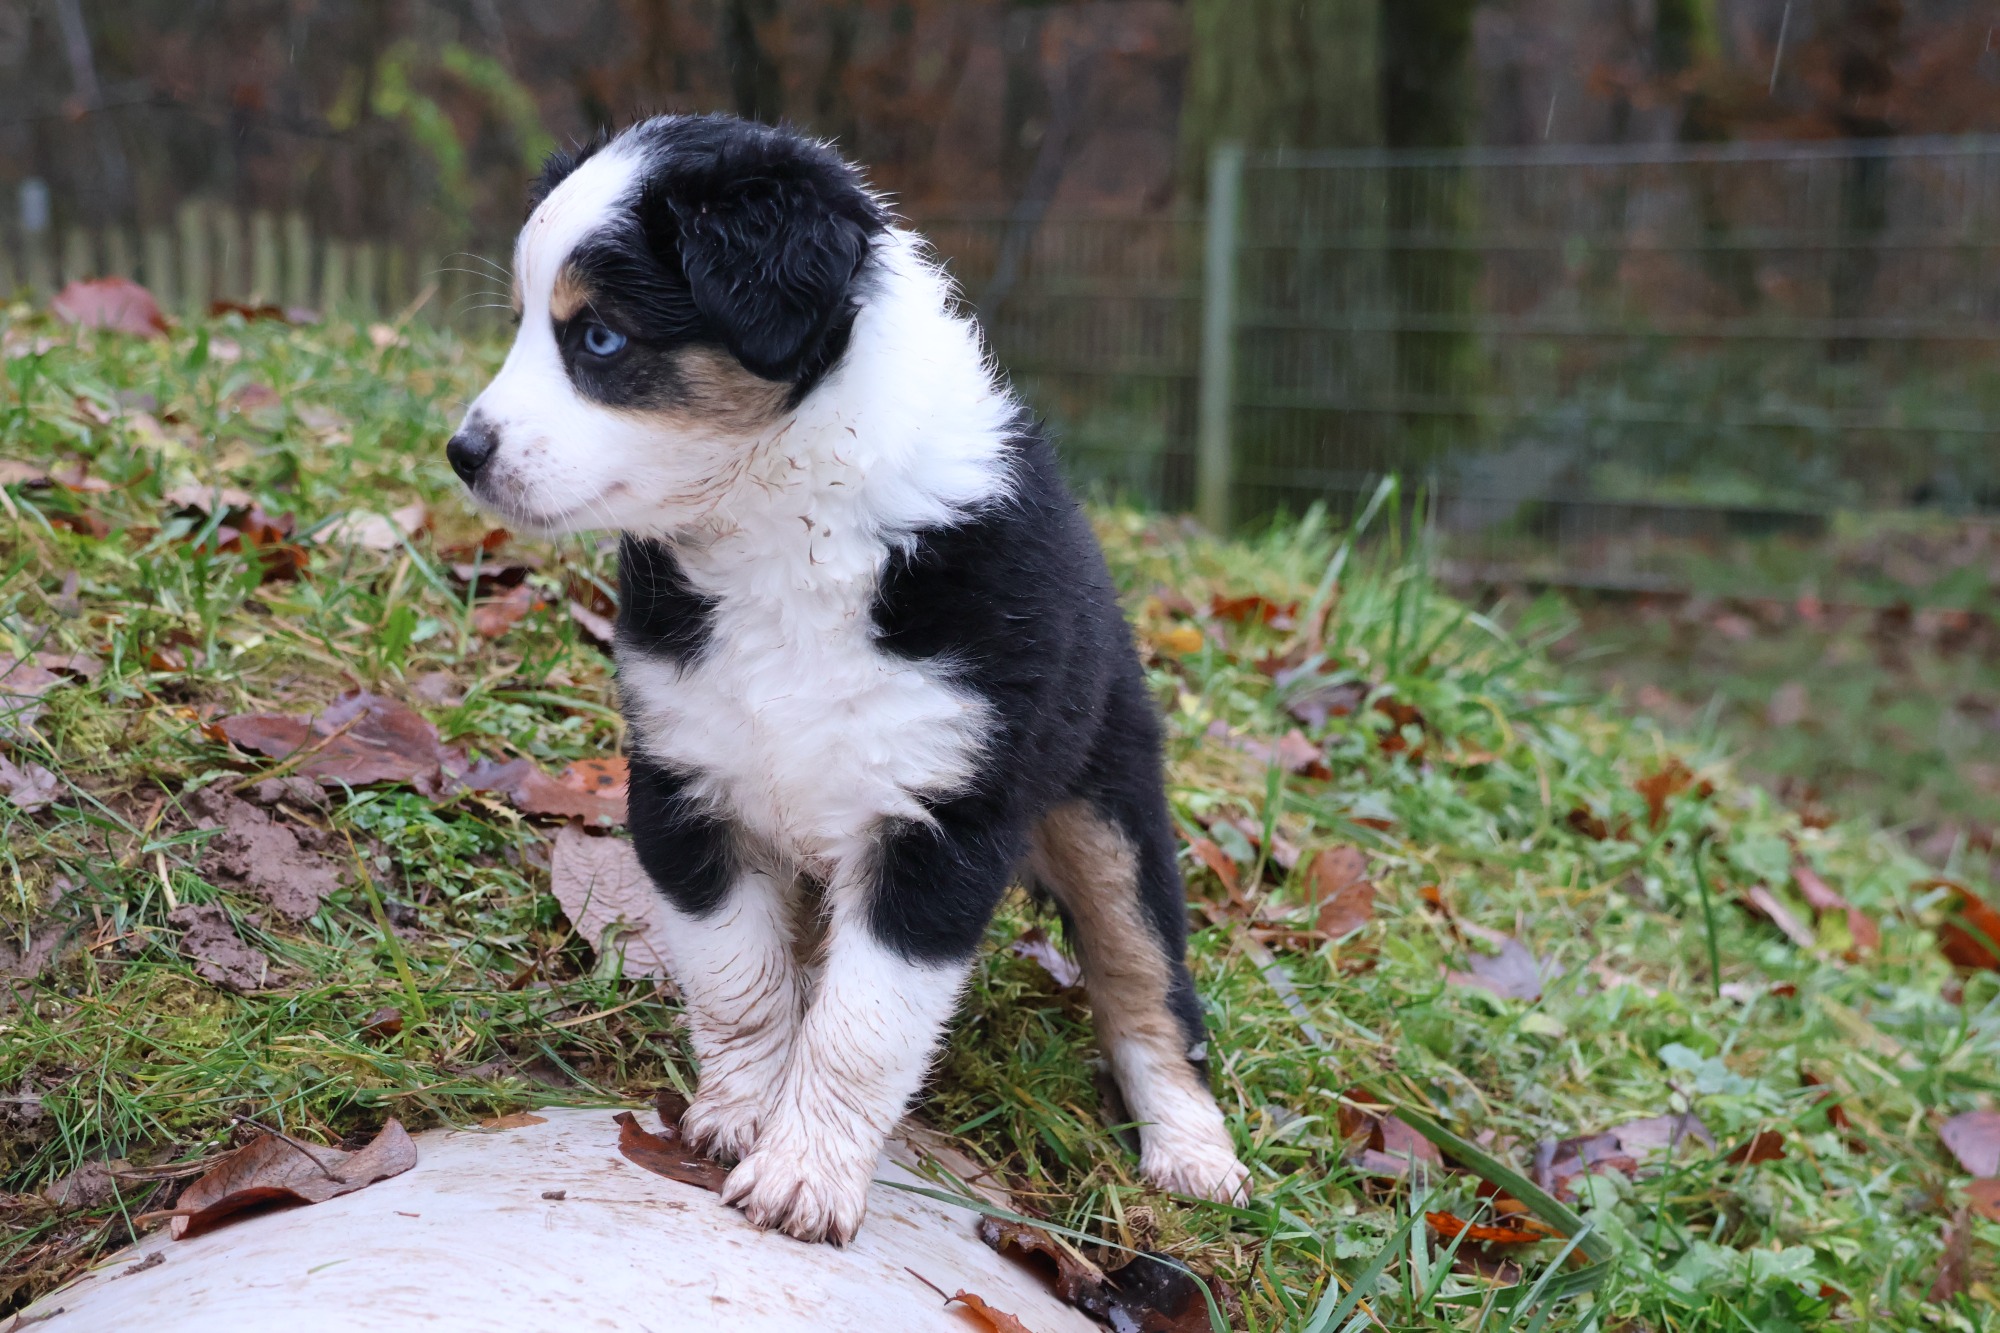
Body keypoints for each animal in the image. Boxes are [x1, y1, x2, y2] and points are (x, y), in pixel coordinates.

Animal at [446, 113, 1250, 1244]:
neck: (782, 523)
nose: (461, 452)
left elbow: (862, 1026)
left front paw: (804, 1178)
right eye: (524, 325)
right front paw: (739, 1118)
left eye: (597, 339)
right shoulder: (686, 786)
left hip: (1107, 806)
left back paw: (1190, 1151)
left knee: (1148, 986)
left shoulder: (938, 827)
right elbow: (742, 981)